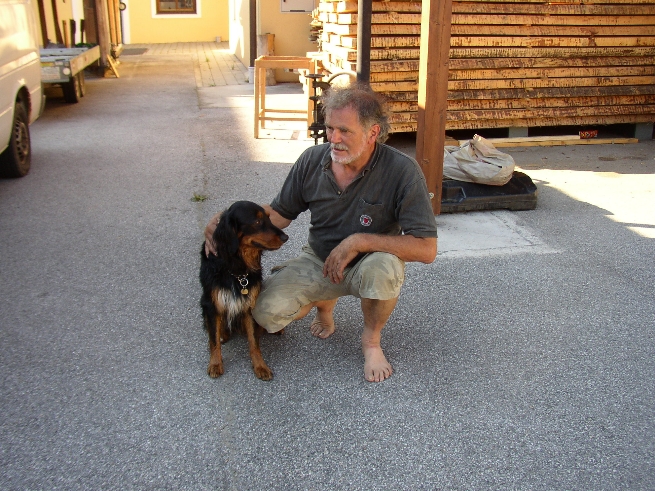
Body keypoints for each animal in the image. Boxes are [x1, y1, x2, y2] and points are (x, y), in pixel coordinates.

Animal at [199, 202, 288, 382]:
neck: (236, 269)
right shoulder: (211, 304)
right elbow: (213, 340)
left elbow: (254, 341)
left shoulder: (250, 304)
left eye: (269, 217)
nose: (285, 237)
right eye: (257, 222)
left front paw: (260, 366)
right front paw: (215, 364)